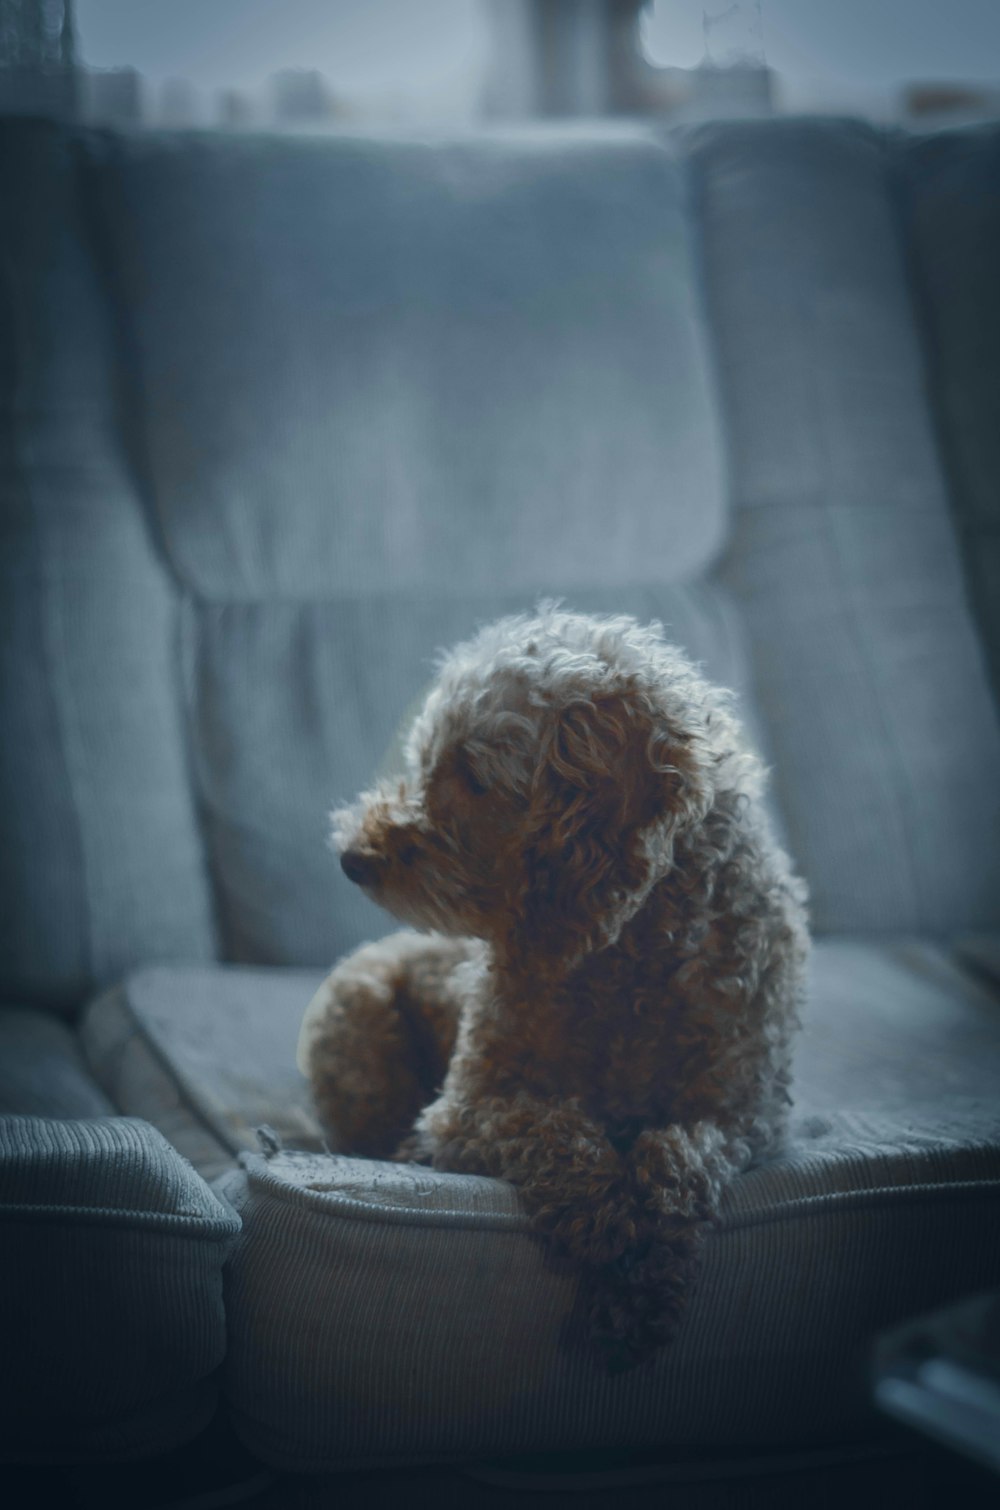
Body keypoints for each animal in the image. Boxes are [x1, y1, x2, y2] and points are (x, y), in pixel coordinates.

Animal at [302, 604, 809, 1371]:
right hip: (354, 1021)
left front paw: (641, 1282)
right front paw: (602, 1216)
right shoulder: (465, 1109)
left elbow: (680, 1159)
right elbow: (549, 1127)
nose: (352, 858)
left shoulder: (748, 1117)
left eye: (474, 775)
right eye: (426, 759)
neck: (629, 949)